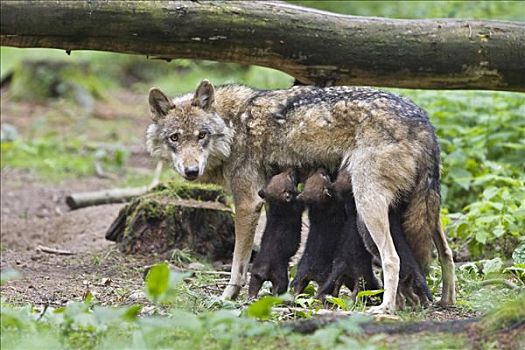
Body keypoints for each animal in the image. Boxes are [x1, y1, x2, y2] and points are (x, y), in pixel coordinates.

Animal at [247, 168, 302, 296]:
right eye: (290, 177)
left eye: (277, 175)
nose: (292, 168)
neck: (278, 206)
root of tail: (262, 271)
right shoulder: (297, 207)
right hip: (281, 278)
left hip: (254, 277)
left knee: (252, 290)